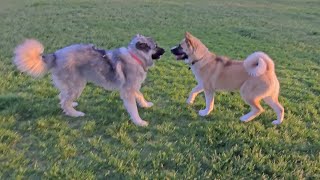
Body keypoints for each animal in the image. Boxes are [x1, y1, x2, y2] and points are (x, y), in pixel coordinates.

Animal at [12, 34, 165, 126]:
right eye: (156, 46)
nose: (165, 50)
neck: (136, 56)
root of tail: (56, 55)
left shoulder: (132, 87)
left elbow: (140, 95)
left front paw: (145, 104)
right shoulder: (128, 90)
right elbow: (133, 108)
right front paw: (139, 121)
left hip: (72, 84)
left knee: (62, 97)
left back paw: (72, 105)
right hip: (78, 84)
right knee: (64, 101)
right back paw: (75, 113)